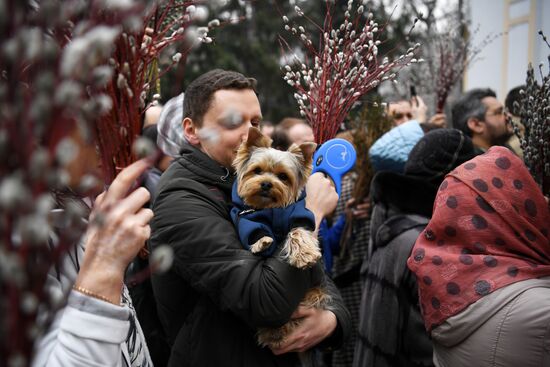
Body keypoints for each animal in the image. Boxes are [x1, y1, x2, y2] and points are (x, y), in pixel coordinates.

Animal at [231, 127, 330, 350]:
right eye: (257, 171)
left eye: (283, 176)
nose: (267, 184)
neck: (271, 209)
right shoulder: (247, 217)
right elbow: (255, 230)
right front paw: (261, 242)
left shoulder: (299, 216)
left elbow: (298, 232)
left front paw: (305, 255)